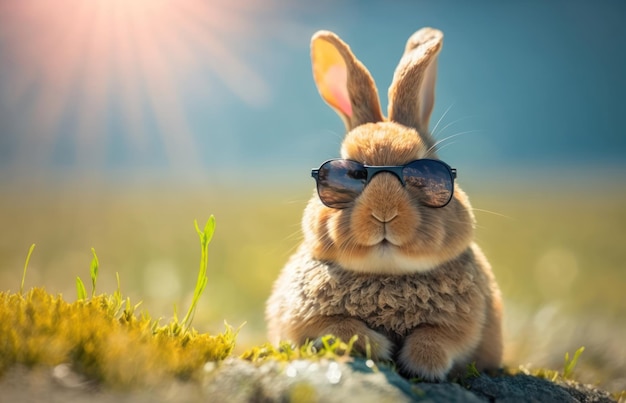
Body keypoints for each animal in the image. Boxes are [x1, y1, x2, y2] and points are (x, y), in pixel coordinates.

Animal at [264, 28, 502, 382]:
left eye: (426, 172)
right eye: (347, 172)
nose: (384, 213)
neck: (387, 274)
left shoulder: (465, 326)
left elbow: (438, 337)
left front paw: (424, 363)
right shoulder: (306, 319)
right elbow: (340, 328)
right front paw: (378, 348)